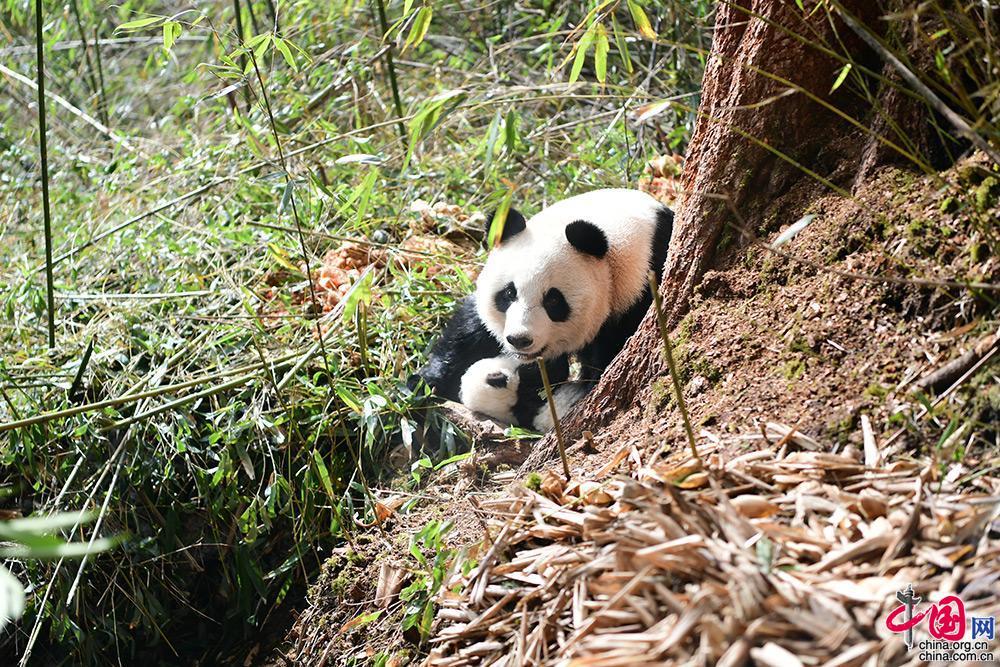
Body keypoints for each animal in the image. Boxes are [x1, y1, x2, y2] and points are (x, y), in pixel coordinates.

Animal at [414, 192, 672, 434]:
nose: (519, 340)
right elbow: (471, 330)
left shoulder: (638, 291)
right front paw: (423, 386)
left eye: (554, 300)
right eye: (509, 293)